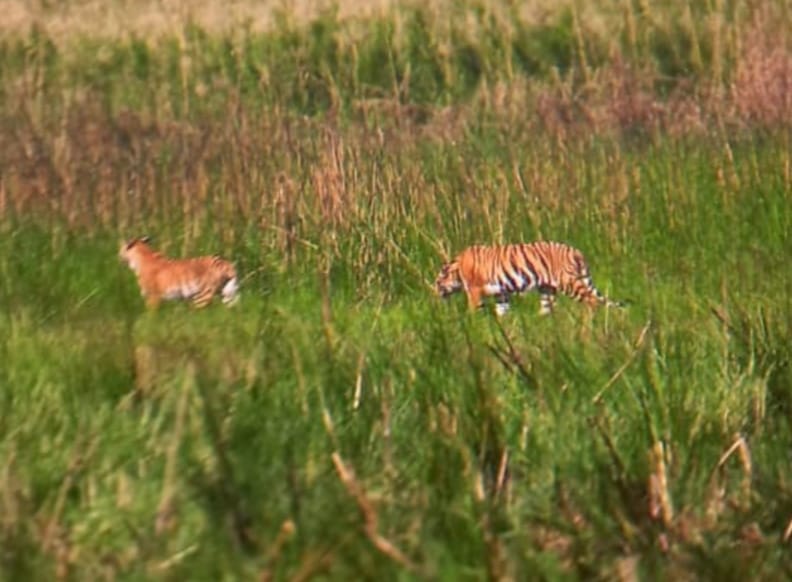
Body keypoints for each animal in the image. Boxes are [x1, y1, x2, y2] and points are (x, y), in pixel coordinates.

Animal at [434, 241, 625, 316]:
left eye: (437, 283)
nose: (435, 293)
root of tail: (576, 251)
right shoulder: (501, 294)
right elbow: (502, 313)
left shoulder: (474, 291)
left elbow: (473, 310)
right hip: (547, 290)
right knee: (548, 311)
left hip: (568, 283)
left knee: (592, 301)